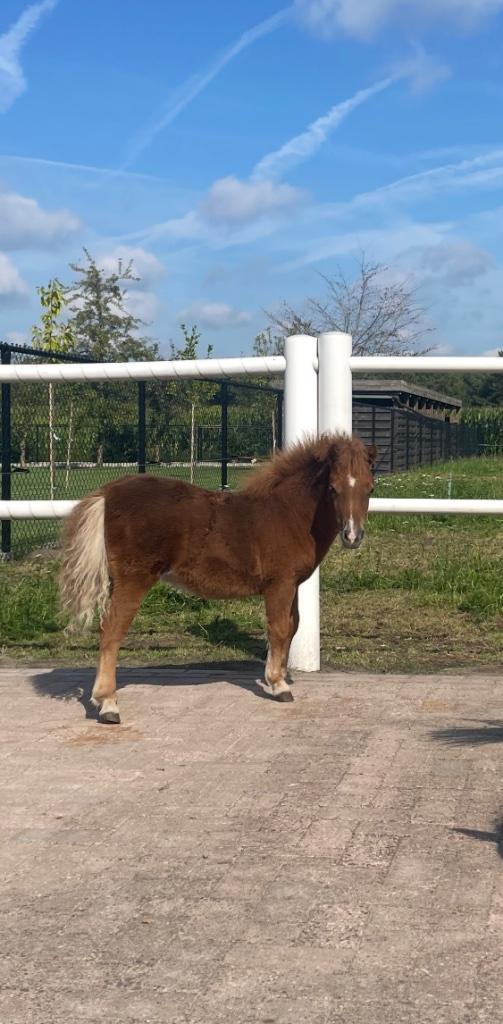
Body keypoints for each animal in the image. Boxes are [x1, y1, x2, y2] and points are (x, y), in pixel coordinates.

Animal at [60, 434, 376, 724]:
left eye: (370, 488)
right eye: (333, 489)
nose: (352, 536)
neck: (287, 513)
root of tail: (108, 493)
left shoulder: (292, 585)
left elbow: (293, 625)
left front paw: (280, 675)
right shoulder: (280, 584)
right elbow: (279, 629)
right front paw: (278, 685)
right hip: (134, 579)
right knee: (112, 630)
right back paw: (108, 704)